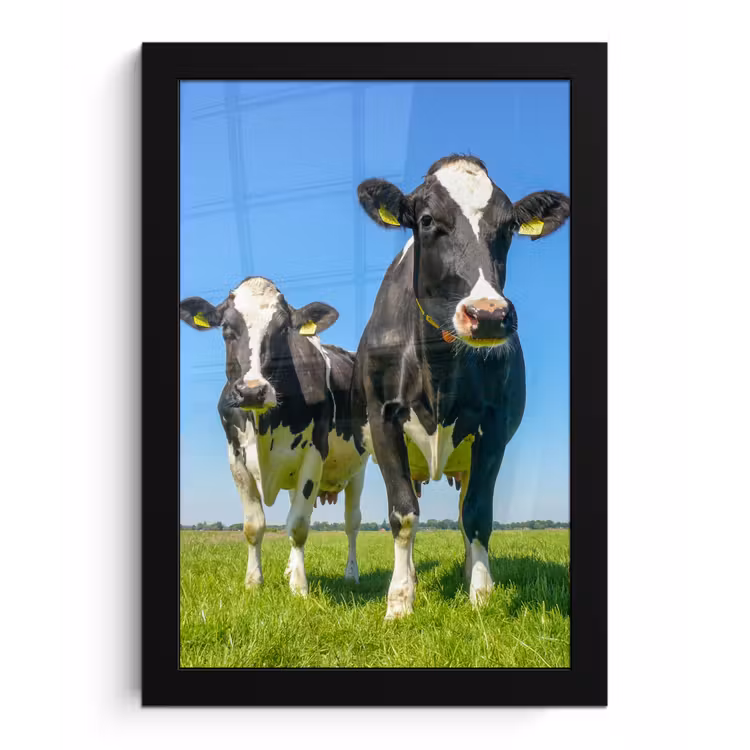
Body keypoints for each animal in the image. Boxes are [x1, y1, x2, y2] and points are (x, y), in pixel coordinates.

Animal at [180, 276, 368, 596]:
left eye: (283, 330)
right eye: (226, 329)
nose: (252, 391)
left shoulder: (314, 455)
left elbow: (299, 525)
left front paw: (300, 587)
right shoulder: (235, 458)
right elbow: (254, 525)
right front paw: (254, 582)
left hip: (359, 468)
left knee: (351, 523)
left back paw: (351, 574)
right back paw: (290, 567)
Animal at [351, 154, 570, 619]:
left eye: (508, 227)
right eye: (427, 220)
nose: (487, 315)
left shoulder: (493, 428)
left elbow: (477, 515)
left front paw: (481, 595)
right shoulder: (383, 419)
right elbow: (403, 514)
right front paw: (400, 601)